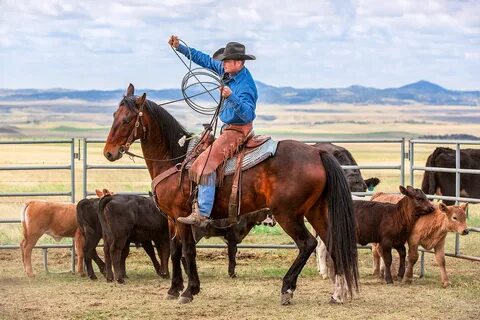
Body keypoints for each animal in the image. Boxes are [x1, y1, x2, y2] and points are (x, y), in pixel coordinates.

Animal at [103, 84, 358, 304]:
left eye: (127, 120)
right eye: (114, 115)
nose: (109, 153)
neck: (176, 158)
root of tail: (317, 154)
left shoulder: (182, 216)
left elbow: (187, 250)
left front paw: (189, 291)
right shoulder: (171, 218)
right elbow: (175, 251)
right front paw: (174, 289)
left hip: (288, 214)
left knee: (307, 244)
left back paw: (287, 288)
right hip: (316, 211)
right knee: (332, 243)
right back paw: (338, 294)